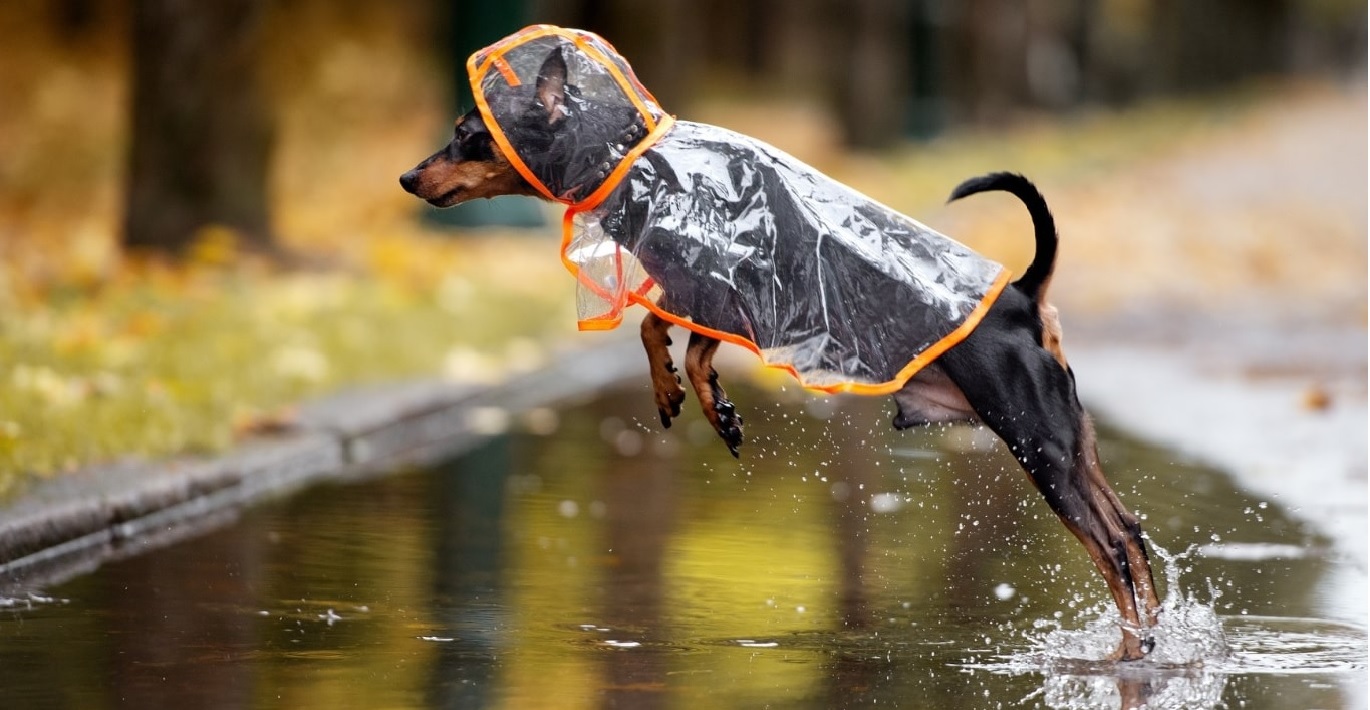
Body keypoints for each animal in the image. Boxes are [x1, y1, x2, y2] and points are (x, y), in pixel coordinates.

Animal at [400, 29, 1161, 663]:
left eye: (467, 135)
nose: (407, 177)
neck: (632, 160)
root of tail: (1024, 298)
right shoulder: (702, 295)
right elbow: (673, 338)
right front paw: (694, 398)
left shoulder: (719, 287)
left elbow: (668, 338)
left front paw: (696, 400)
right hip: (1071, 443)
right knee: (1131, 532)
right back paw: (1150, 637)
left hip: (1037, 443)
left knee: (1110, 546)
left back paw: (1130, 651)